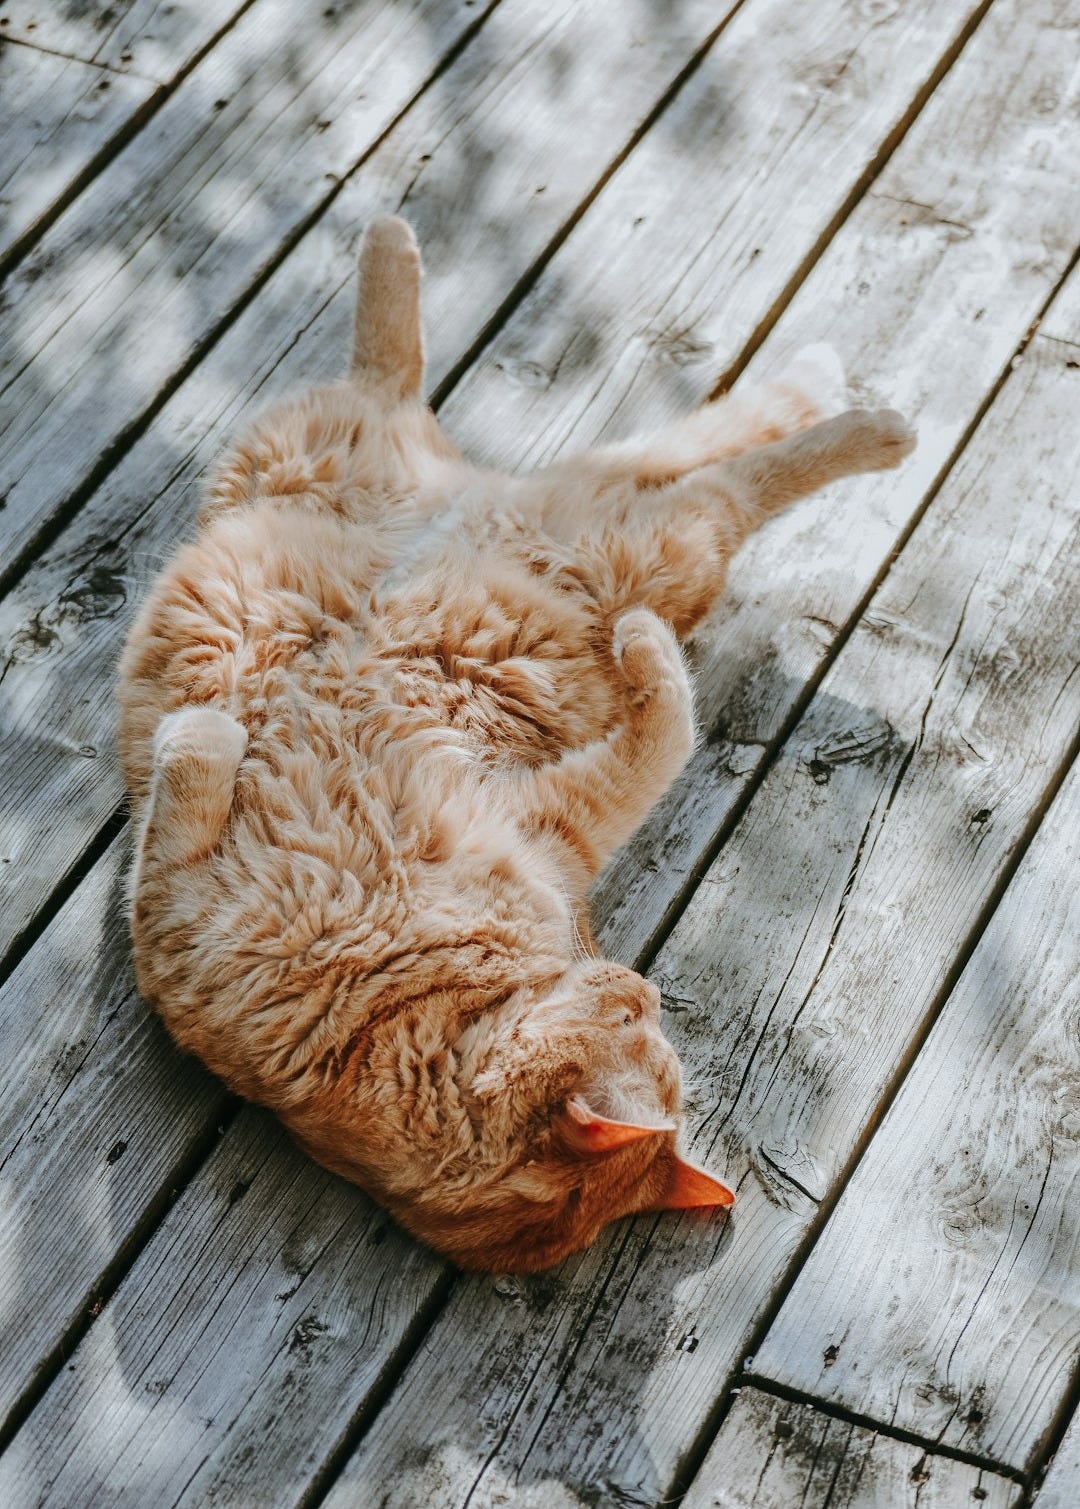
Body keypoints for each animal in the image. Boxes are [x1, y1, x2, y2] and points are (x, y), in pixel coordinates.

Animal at [116, 215, 911, 1273]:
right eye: (638, 1017)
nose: (632, 977)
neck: (396, 1009)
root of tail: (448, 491)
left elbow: (671, 723)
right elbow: (668, 725)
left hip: (637, 541)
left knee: (715, 471)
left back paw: (869, 423)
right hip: (481, 495)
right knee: (477, 397)